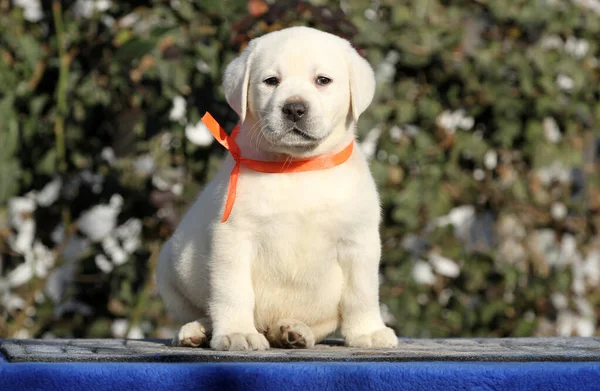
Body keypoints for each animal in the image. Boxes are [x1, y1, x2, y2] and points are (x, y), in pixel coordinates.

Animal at [156, 27, 398, 352]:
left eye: (322, 80)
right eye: (271, 81)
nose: (294, 108)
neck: (296, 167)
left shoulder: (358, 240)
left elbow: (362, 292)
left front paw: (368, 332)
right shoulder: (233, 237)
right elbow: (233, 291)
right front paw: (236, 332)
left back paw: (293, 331)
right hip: (169, 269)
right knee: (201, 310)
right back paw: (198, 331)